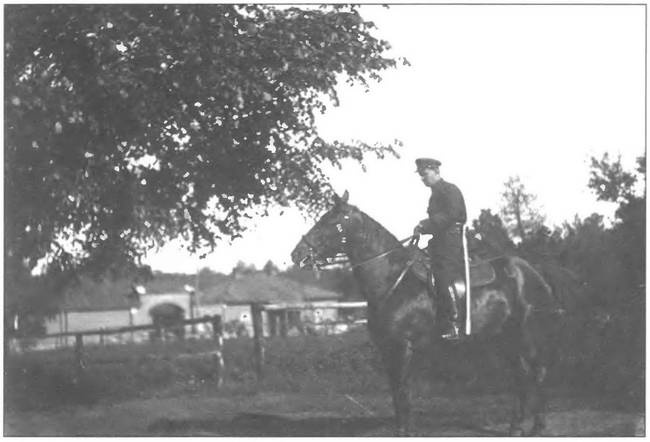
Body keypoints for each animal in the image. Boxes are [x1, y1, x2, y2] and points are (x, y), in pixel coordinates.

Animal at [290, 192, 560, 436]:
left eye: (329, 221)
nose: (297, 254)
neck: (392, 281)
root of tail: (533, 272)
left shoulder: (402, 347)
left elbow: (402, 390)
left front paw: (404, 432)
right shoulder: (387, 349)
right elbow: (397, 391)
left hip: (525, 335)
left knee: (539, 373)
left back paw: (538, 426)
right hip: (503, 339)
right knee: (521, 376)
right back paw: (516, 427)